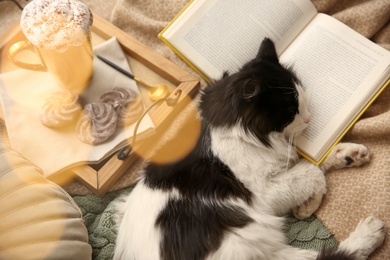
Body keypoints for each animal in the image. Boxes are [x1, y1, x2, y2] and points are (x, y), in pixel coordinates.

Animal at [112, 38, 384, 260]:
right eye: (292, 110)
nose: (309, 119)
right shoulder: (264, 193)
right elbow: (312, 172)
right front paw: (309, 206)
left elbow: (309, 162)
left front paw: (348, 155)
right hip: (250, 242)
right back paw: (371, 231)